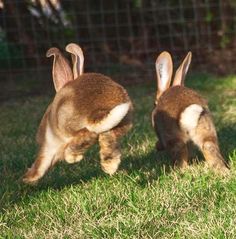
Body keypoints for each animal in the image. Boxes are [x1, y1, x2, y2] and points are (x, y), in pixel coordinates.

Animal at [23, 43, 133, 185]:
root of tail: (98, 111)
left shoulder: (49, 146)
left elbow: (40, 164)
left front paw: (27, 178)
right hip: (121, 123)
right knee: (107, 137)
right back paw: (109, 166)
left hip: (67, 123)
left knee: (88, 134)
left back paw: (73, 157)